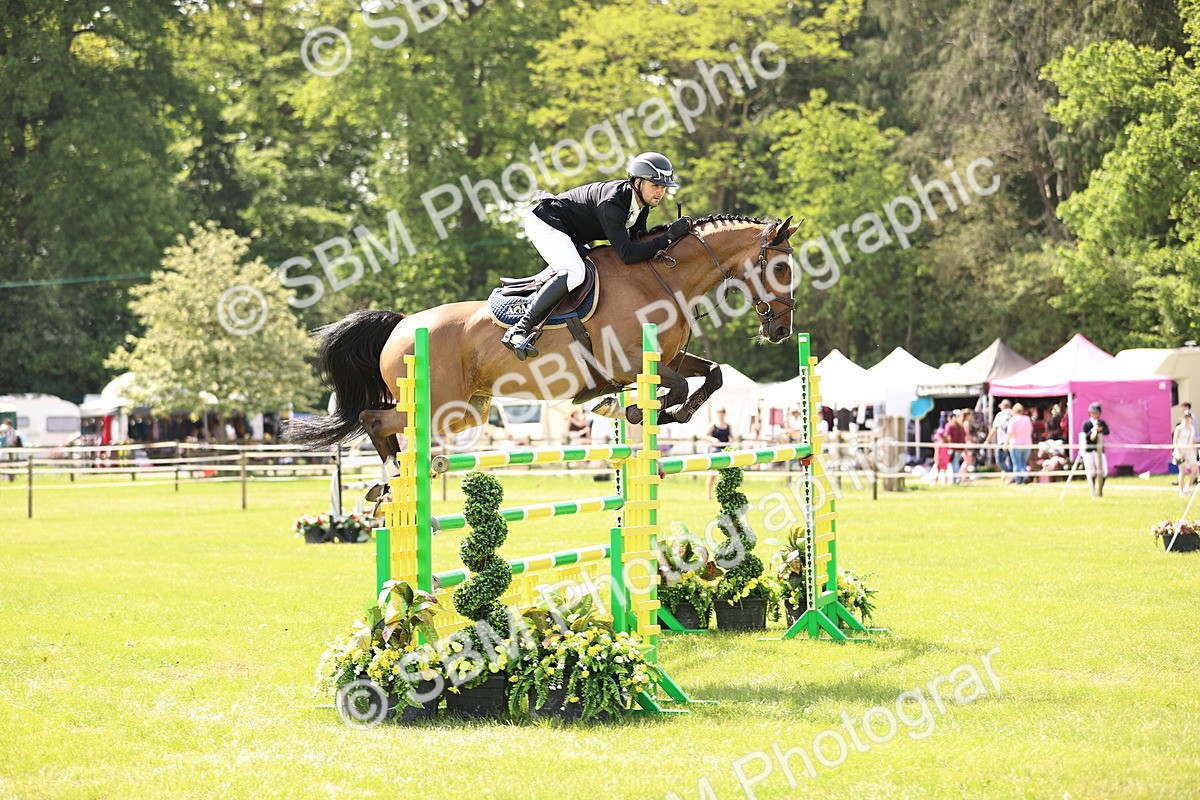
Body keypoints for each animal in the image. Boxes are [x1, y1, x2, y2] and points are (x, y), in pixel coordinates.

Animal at [286, 214, 799, 474]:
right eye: (780, 267)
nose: (781, 331)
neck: (660, 278)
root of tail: (401, 325)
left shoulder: (669, 358)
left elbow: (711, 375)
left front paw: (668, 413)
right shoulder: (630, 362)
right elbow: (672, 387)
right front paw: (636, 410)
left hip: (467, 410)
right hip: (440, 405)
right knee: (375, 419)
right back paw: (395, 473)